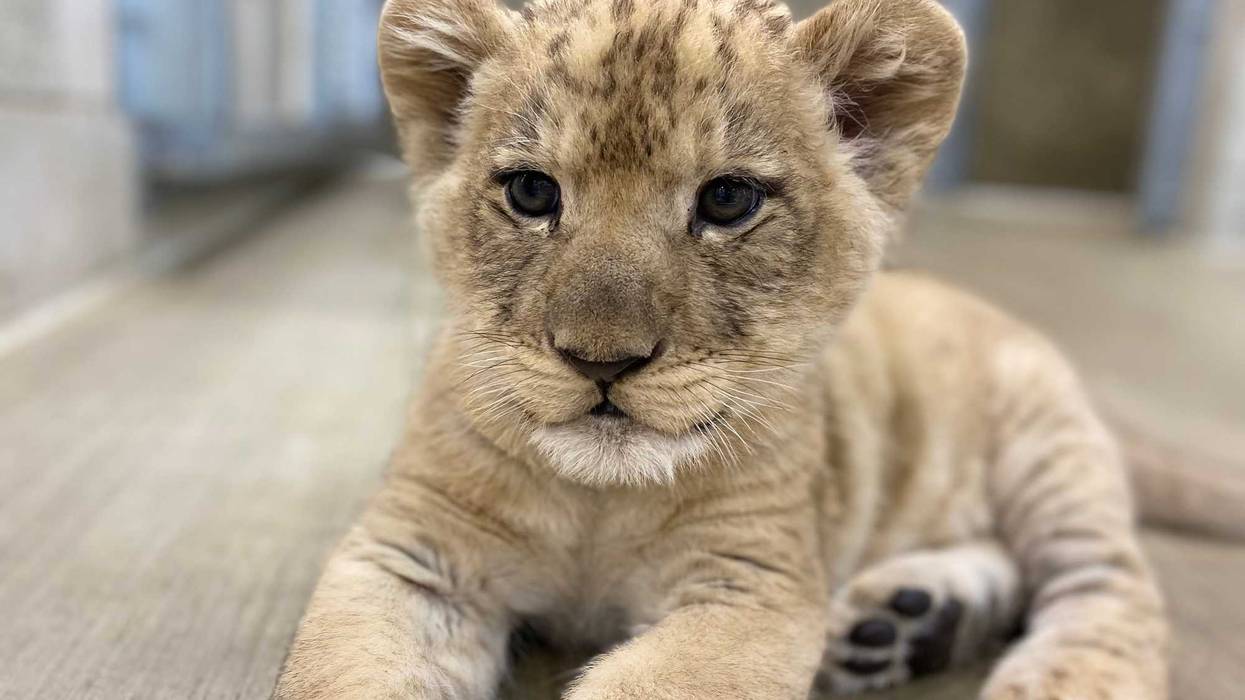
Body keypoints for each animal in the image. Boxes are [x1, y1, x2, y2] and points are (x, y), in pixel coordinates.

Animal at [274, 0, 1239, 697]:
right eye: (531, 193)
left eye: (729, 200)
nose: (601, 361)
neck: (596, 501)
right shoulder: (410, 553)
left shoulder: (754, 585)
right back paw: (903, 624)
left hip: (1050, 450)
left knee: (1111, 584)